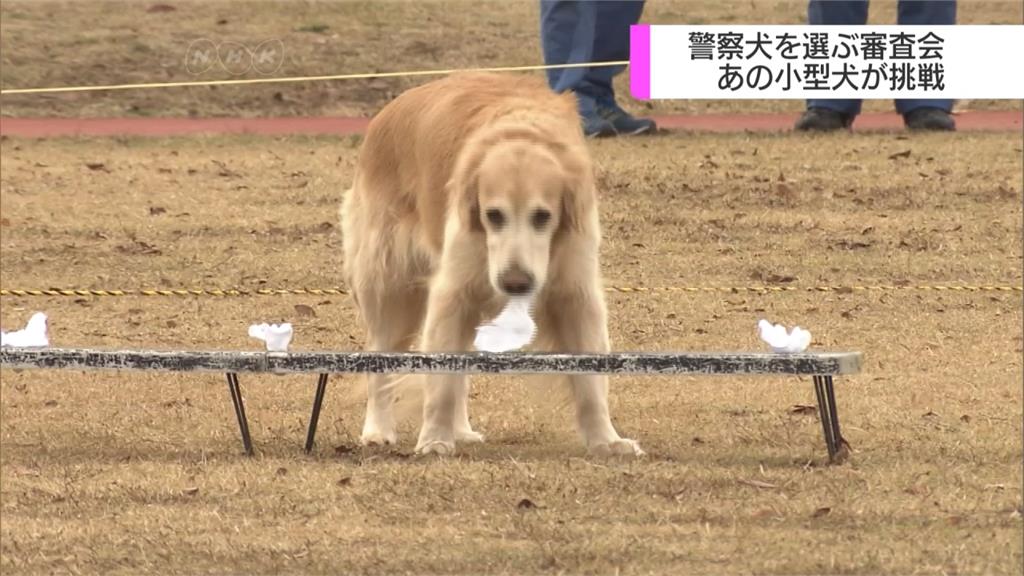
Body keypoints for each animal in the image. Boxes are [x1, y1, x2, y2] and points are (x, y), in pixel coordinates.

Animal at [344, 71, 643, 455]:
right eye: (493, 216)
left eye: (543, 217)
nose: (515, 283)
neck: (521, 130)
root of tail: (387, 110)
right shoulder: (453, 291)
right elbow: (440, 383)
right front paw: (434, 439)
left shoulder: (576, 291)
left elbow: (591, 382)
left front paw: (606, 440)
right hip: (390, 287)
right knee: (379, 359)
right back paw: (378, 430)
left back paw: (460, 430)